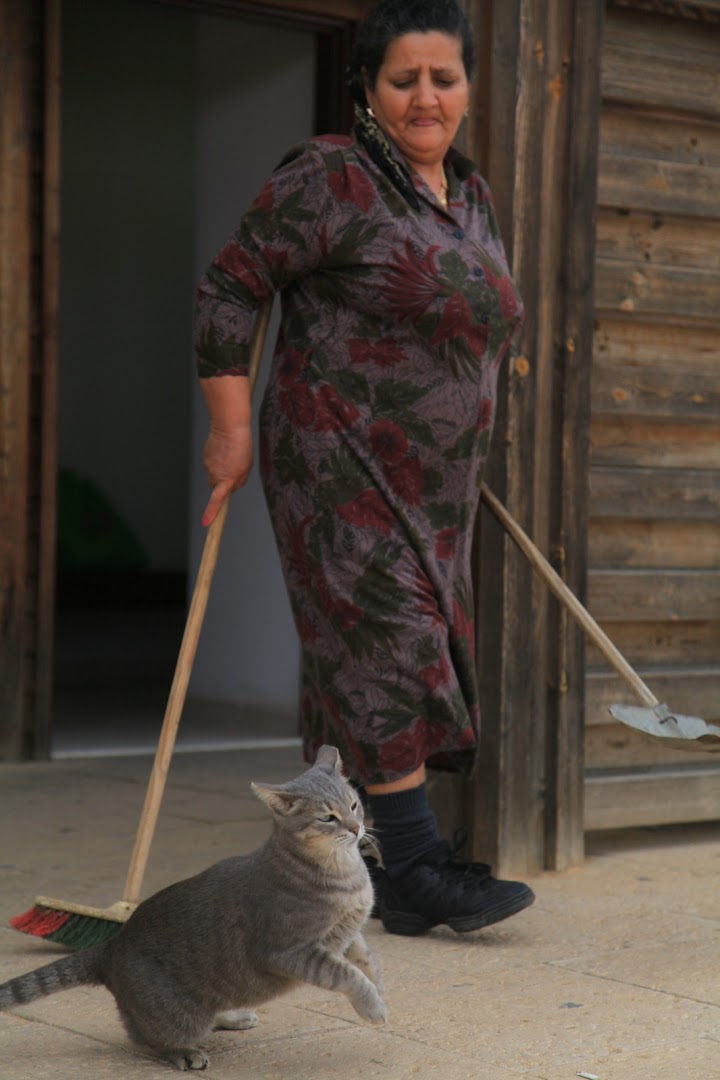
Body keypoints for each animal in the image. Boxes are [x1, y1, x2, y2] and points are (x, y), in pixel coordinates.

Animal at [0, 747, 386, 1067]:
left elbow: (366, 959)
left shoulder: (350, 933)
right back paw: (186, 1053)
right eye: (327, 818)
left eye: (354, 805)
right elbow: (347, 974)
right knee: (147, 1038)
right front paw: (373, 1006)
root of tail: (110, 947)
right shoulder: (291, 950)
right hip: (176, 1016)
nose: (357, 828)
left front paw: (380, 988)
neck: (345, 873)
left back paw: (233, 1016)